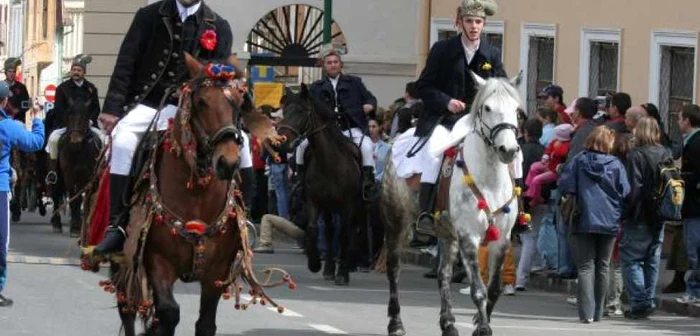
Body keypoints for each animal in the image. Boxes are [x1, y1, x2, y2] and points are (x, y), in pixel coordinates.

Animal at [51, 101, 102, 235]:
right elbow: (75, 198)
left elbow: (87, 197)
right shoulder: (70, 175)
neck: (78, 150)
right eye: (69, 115)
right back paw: (56, 223)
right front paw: (75, 227)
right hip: (57, 176)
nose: (75, 139)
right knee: (56, 194)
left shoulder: (89, 175)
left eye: (85, 116)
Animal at [80, 53, 292, 334]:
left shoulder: (216, 272)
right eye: (201, 102)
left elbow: (204, 323)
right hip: (122, 259)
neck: (197, 195)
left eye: (238, 102)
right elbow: (169, 313)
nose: (227, 162)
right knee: (127, 307)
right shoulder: (157, 261)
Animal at [274, 84, 366, 286]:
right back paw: (329, 268)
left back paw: (347, 265)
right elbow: (313, 229)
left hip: (355, 207)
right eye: (285, 111)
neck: (329, 163)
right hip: (329, 208)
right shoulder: (314, 202)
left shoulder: (348, 205)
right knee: (330, 232)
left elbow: (344, 234)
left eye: (301, 111)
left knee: (351, 232)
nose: (280, 144)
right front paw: (315, 263)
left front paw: (343, 273)